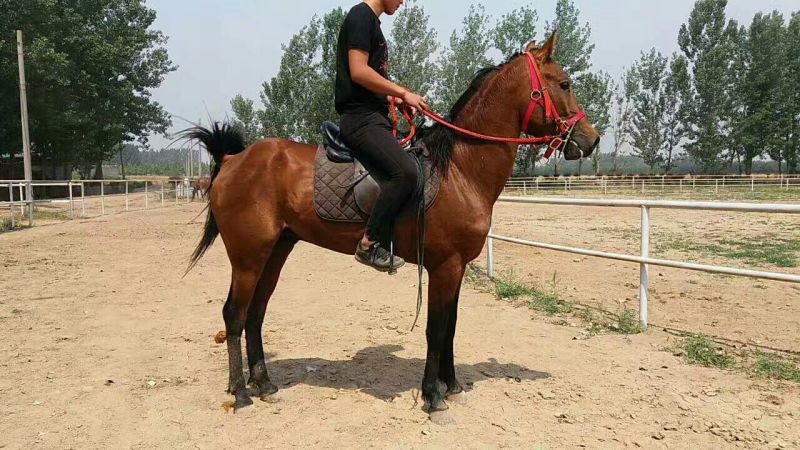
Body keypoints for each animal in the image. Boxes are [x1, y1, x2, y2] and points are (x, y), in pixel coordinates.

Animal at [186, 32, 600, 415]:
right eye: (564, 83)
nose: (591, 140)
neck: (459, 169)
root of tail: (234, 160)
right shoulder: (444, 266)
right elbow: (436, 329)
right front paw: (433, 396)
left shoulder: (457, 268)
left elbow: (451, 326)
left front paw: (451, 385)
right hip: (248, 256)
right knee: (234, 314)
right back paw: (240, 393)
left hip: (276, 250)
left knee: (256, 312)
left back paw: (263, 383)